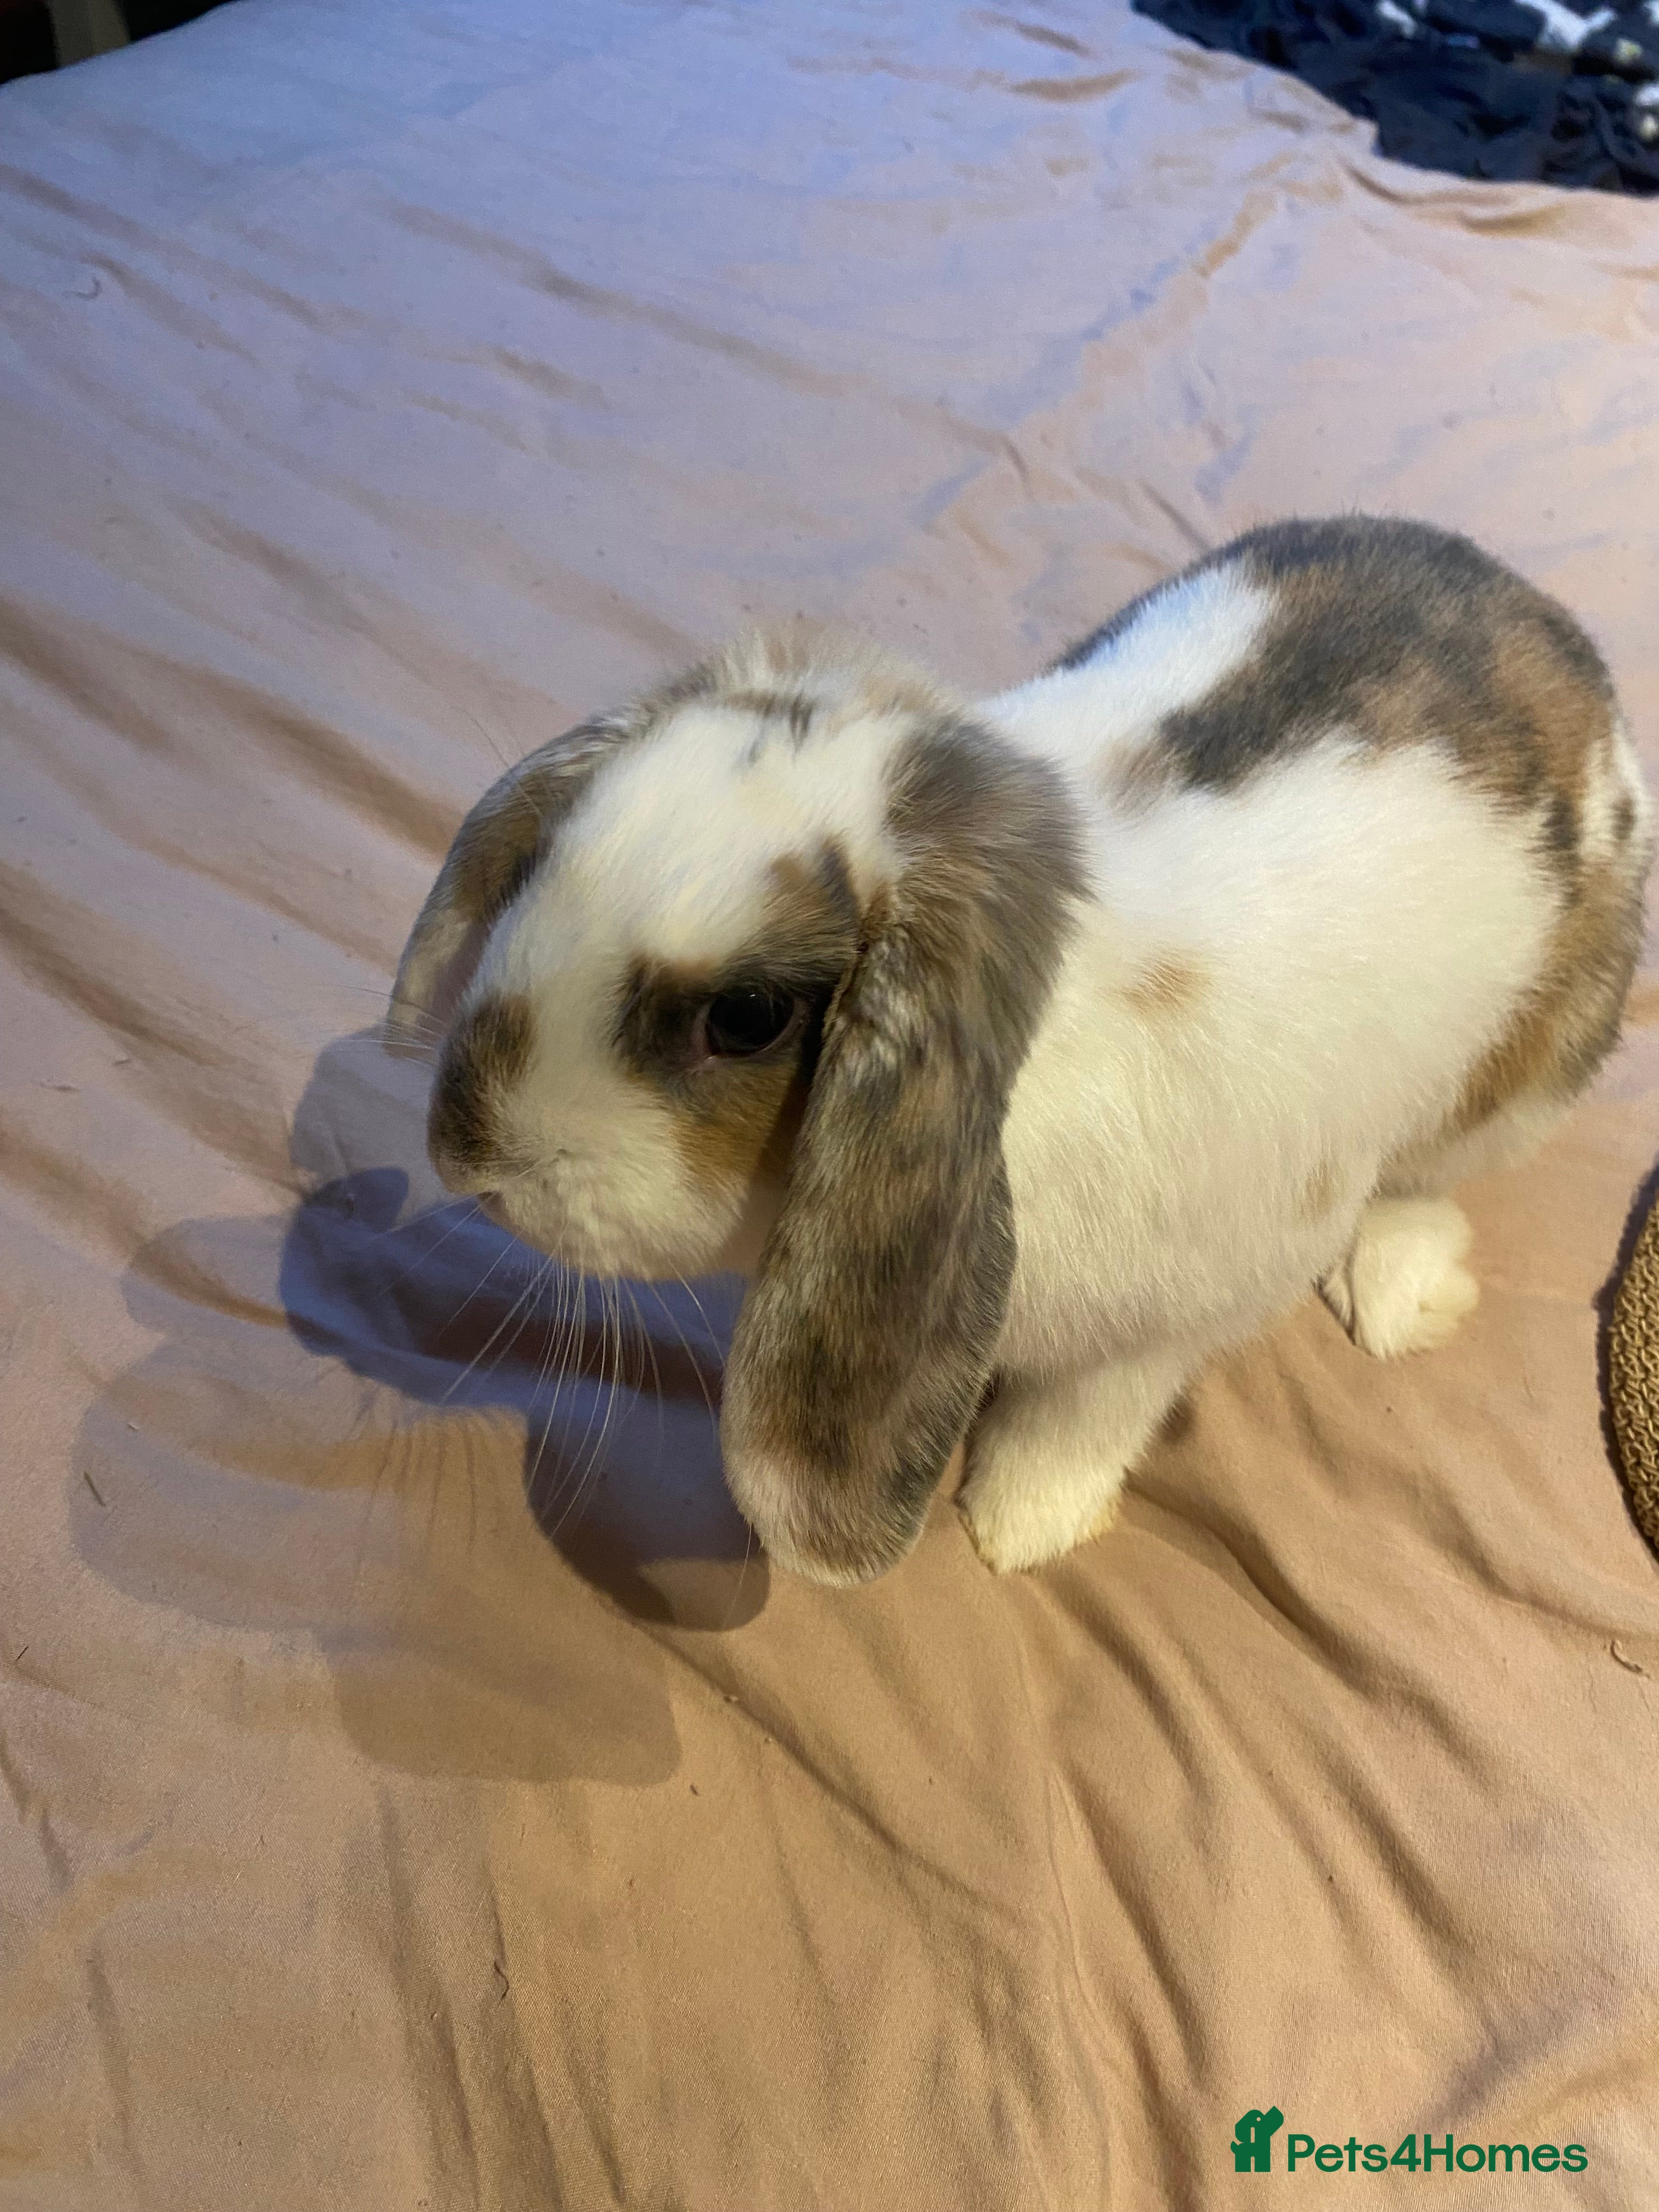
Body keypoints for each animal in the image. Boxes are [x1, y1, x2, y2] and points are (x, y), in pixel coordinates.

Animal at [388, 516, 1651, 1583]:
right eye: (540, 857)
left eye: (744, 1016)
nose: (469, 1155)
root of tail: (1550, 626)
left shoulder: (1173, 1320)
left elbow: (1081, 1421)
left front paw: (1016, 1530)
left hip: (1524, 1079)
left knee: (1426, 1182)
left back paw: (1393, 1297)